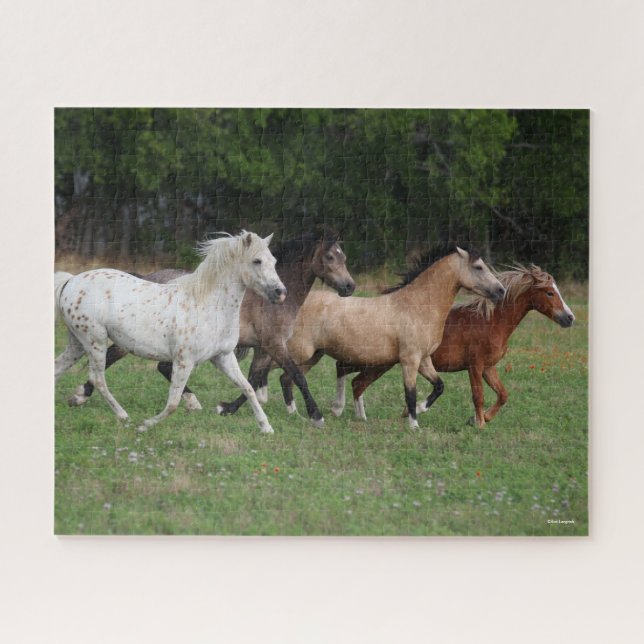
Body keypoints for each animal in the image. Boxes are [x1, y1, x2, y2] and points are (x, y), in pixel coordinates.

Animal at [66, 228, 356, 427]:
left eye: (344, 256)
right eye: (330, 256)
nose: (350, 287)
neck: (270, 301)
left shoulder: (263, 349)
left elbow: (253, 380)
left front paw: (228, 409)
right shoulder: (273, 345)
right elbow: (296, 375)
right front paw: (316, 416)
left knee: (157, 366)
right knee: (114, 358)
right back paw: (82, 395)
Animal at [277, 247, 506, 428]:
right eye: (478, 267)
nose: (501, 290)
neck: (417, 307)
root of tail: (298, 304)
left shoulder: (424, 360)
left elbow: (439, 386)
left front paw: (420, 409)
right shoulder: (409, 360)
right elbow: (410, 392)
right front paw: (414, 424)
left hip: (314, 355)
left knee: (288, 378)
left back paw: (296, 414)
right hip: (302, 352)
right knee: (288, 376)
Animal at [307, 264, 575, 428]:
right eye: (549, 293)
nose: (569, 318)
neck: (490, 321)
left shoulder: (488, 368)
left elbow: (503, 395)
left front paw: (480, 419)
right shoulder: (475, 366)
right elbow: (478, 395)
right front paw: (478, 423)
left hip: (377, 363)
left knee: (352, 378)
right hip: (376, 362)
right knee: (349, 375)